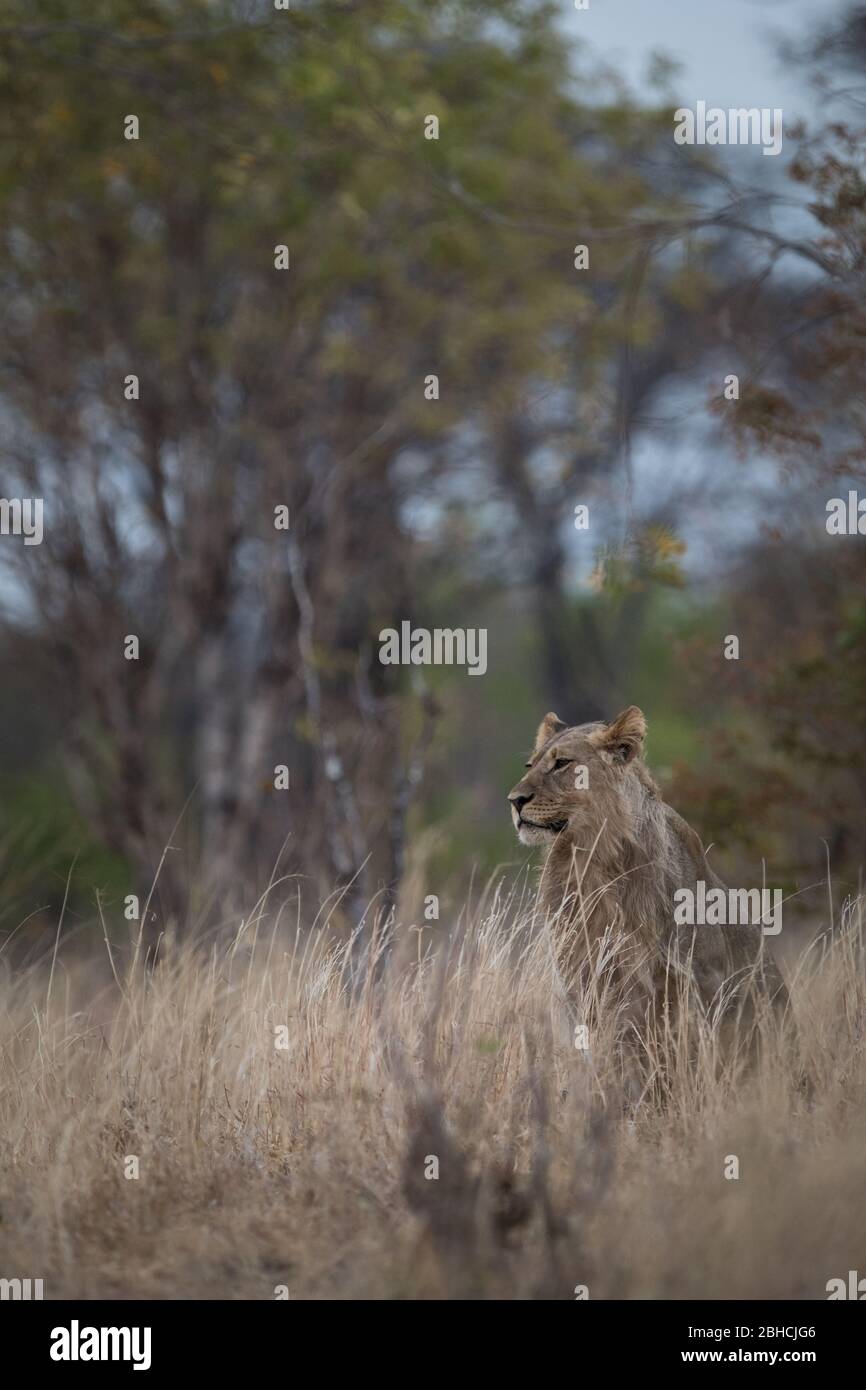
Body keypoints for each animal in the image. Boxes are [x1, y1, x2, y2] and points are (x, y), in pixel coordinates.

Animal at [508, 700, 795, 1045]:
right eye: (529, 765)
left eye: (562, 763)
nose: (514, 800)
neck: (593, 856)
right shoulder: (583, 982)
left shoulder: (694, 983)